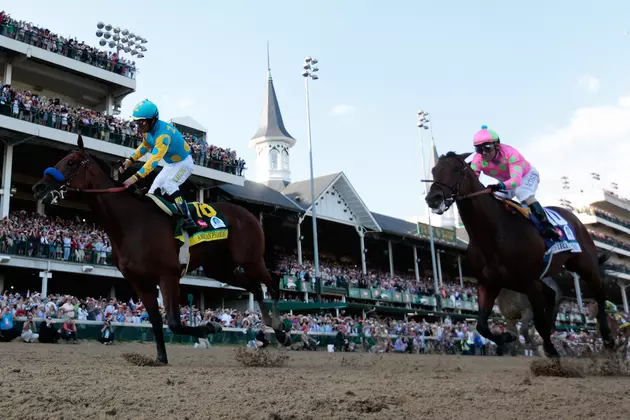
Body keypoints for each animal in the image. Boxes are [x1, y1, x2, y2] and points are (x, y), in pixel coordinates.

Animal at [32, 135, 294, 364]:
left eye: (71, 162)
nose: (38, 186)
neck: (130, 222)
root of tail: (249, 214)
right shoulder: (139, 281)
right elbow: (156, 321)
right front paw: (160, 357)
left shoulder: (168, 275)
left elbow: (174, 322)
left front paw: (211, 325)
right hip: (220, 268)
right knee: (256, 287)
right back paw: (271, 331)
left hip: (250, 259)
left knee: (272, 283)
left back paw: (280, 329)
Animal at [424, 153, 616, 356]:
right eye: (434, 171)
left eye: (455, 170)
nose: (433, 198)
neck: (494, 233)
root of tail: (575, 218)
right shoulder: (489, 284)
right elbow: (481, 325)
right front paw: (507, 338)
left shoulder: (530, 284)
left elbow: (537, 323)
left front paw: (551, 351)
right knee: (552, 295)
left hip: (584, 264)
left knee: (599, 293)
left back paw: (607, 337)